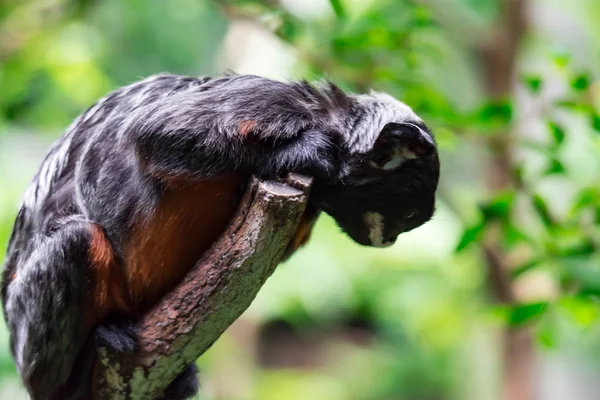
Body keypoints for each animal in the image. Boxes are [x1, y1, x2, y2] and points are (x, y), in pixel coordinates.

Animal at [0, 73, 440, 398]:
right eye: (408, 215)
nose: (390, 239)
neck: (324, 119)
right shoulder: (267, 101)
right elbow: (152, 133)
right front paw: (298, 153)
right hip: (27, 335)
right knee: (76, 240)